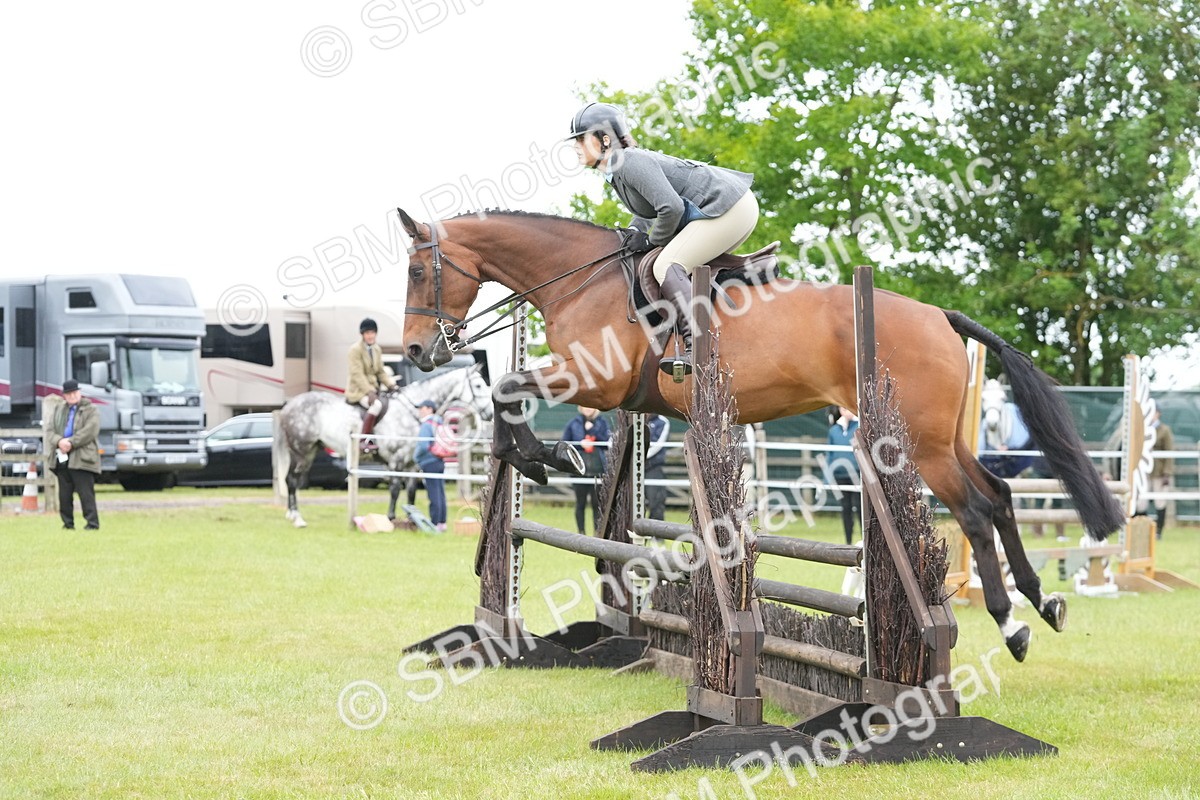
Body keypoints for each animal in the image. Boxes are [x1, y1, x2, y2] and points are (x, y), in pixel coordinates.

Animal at [275, 365, 492, 528]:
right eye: (478, 385)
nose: (490, 414)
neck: (410, 411)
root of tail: (289, 406)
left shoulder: (411, 463)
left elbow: (411, 491)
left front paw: (411, 518)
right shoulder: (396, 459)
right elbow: (395, 488)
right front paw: (390, 518)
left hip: (309, 451)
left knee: (290, 479)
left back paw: (291, 515)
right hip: (301, 451)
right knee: (292, 480)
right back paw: (297, 518)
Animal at [394, 206, 1126, 663]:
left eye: (418, 271)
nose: (420, 353)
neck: (582, 281)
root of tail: (939, 315)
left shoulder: (595, 384)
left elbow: (506, 391)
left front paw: (548, 456)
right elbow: (508, 395)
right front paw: (546, 457)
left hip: (917, 446)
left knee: (973, 511)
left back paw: (1011, 624)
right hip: (943, 440)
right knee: (998, 495)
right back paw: (1044, 602)